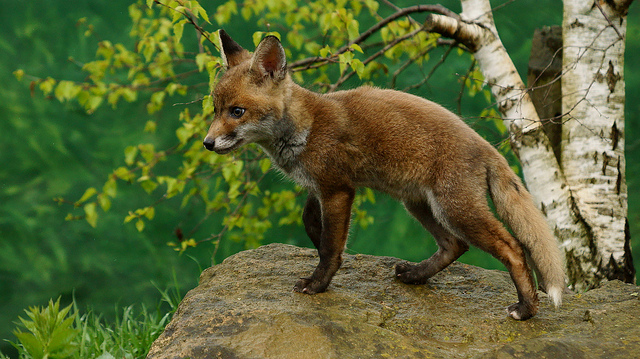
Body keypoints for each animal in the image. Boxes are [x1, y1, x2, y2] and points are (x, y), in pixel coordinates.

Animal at [202, 29, 564, 320]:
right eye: (215, 110)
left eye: (237, 112)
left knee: (513, 249)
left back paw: (527, 308)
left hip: (456, 209)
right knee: (455, 245)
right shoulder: (319, 187)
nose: (206, 143)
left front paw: (319, 282)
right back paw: (416, 275)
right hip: (420, 204)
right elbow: (311, 224)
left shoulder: (338, 189)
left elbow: (331, 245)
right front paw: (324, 252)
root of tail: (486, 145)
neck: (305, 128)